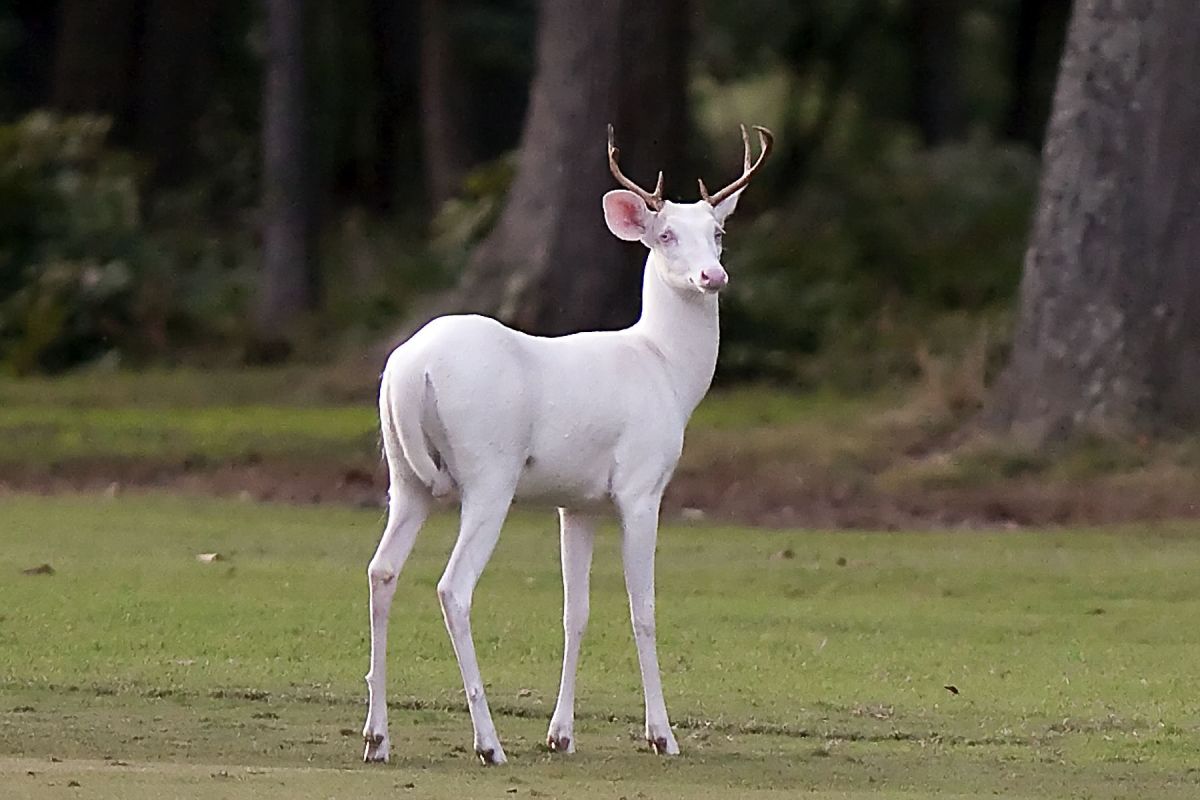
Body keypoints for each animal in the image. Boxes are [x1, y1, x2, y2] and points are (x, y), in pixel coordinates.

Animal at [360, 123, 772, 762]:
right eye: (666, 234)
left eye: (719, 233)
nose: (713, 277)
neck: (666, 370)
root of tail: (408, 369)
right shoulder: (641, 487)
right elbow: (643, 610)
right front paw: (662, 735)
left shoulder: (576, 504)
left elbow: (574, 612)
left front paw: (561, 734)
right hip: (490, 473)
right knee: (454, 587)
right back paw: (488, 744)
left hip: (405, 477)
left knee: (381, 571)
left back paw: (377, 737)